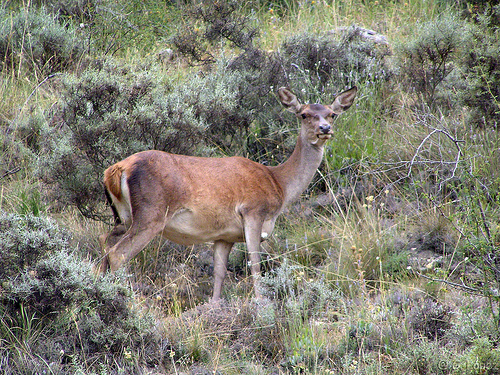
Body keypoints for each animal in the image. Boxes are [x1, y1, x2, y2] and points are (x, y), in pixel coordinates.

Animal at [98, 86, 356, 302]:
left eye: (332, 114)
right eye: (303, 114)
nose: (325, 129)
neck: (278, 183)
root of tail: (115, 170)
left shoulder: (224, 235)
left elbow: (220, 272)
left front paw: (214, 304)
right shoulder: (253, 211)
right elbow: (255, 264)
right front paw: (261, 302)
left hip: (123, 216)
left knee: (105, 243)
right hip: (151, 213)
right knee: (118, 254)